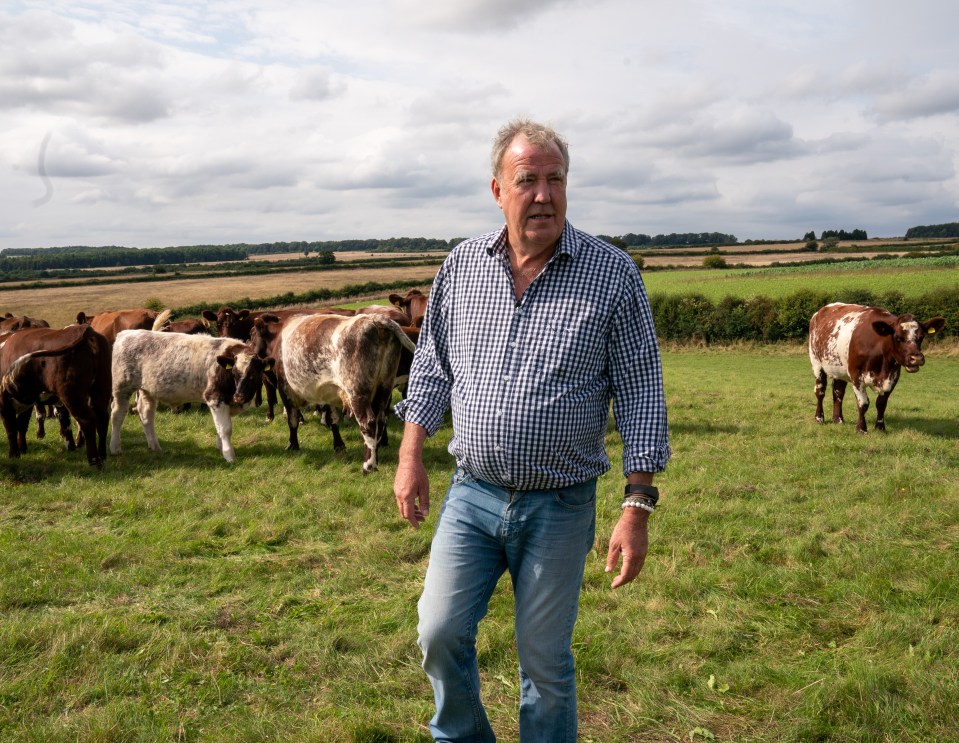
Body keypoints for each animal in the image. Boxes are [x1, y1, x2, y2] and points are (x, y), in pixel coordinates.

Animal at [0, 324, 111, 464]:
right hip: (101, 388)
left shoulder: (4, 402)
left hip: (72, 395)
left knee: (87, 420)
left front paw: (14, 455)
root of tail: (84, 329)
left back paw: (94, 460)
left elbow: (11, 428)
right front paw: (22, 449)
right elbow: (22, 424)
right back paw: (102, 455)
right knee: (102, 418)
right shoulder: (25, 402)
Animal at [113, 330, 278, 462]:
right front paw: (229, 454)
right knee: (117, 415)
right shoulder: (214, 398)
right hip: (122, 388)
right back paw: (115, 448)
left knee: (146, 415)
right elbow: (225, 429)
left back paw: (155, 446)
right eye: (235, 373)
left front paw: (220, 448)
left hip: (148, 390)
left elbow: (219, 428)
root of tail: (127, 333)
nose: (239, 396)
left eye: (254, 375)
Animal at [249, 312, 414, 474]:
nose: (250, 351)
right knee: (381, 420)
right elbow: (333, 419)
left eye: (252, 335)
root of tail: (375, 319)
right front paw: (339, 445)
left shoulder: (286, 389)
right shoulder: (328, 391)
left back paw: (368, 465)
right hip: (384, 388)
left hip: (357, 393)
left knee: (369, 423)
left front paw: (292, 444)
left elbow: (293, 420)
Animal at [808, 300, 944, 434]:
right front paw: (861, 428)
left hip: (839, 369)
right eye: (898, 337)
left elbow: (881, 403)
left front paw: (880, 427)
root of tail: (820, 312)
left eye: (921, 337)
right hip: (816, 364)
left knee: (838, 392)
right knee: (820, 391)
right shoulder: (856, 374)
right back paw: (819, 418)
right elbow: (863, 403)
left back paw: (838, 419)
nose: (916, 359)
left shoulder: (893, 376)